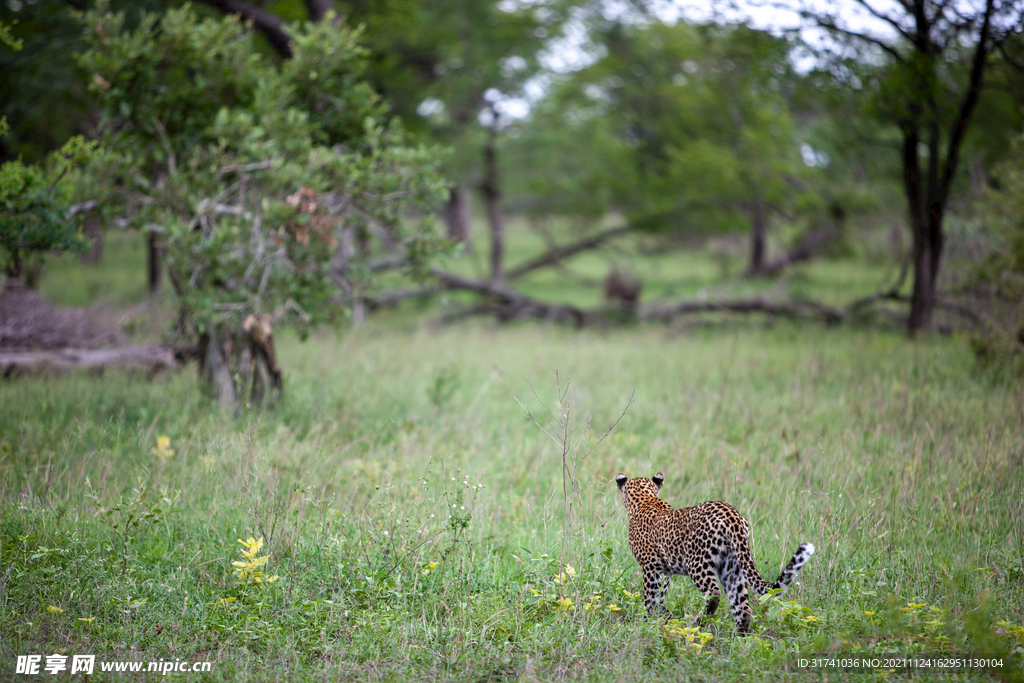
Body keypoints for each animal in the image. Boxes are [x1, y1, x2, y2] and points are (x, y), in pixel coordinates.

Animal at [614, 471, 815, 634]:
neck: (644, 500)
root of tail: (733, 516)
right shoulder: (665, 572)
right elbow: (659, 599)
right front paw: (665, 618)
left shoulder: (651, 568)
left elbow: (651, 599)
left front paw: (649, 622)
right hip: (733, 567)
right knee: (742, 607)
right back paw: (739, 641)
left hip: (697, 563)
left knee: (714, 593)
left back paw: (698, 621)